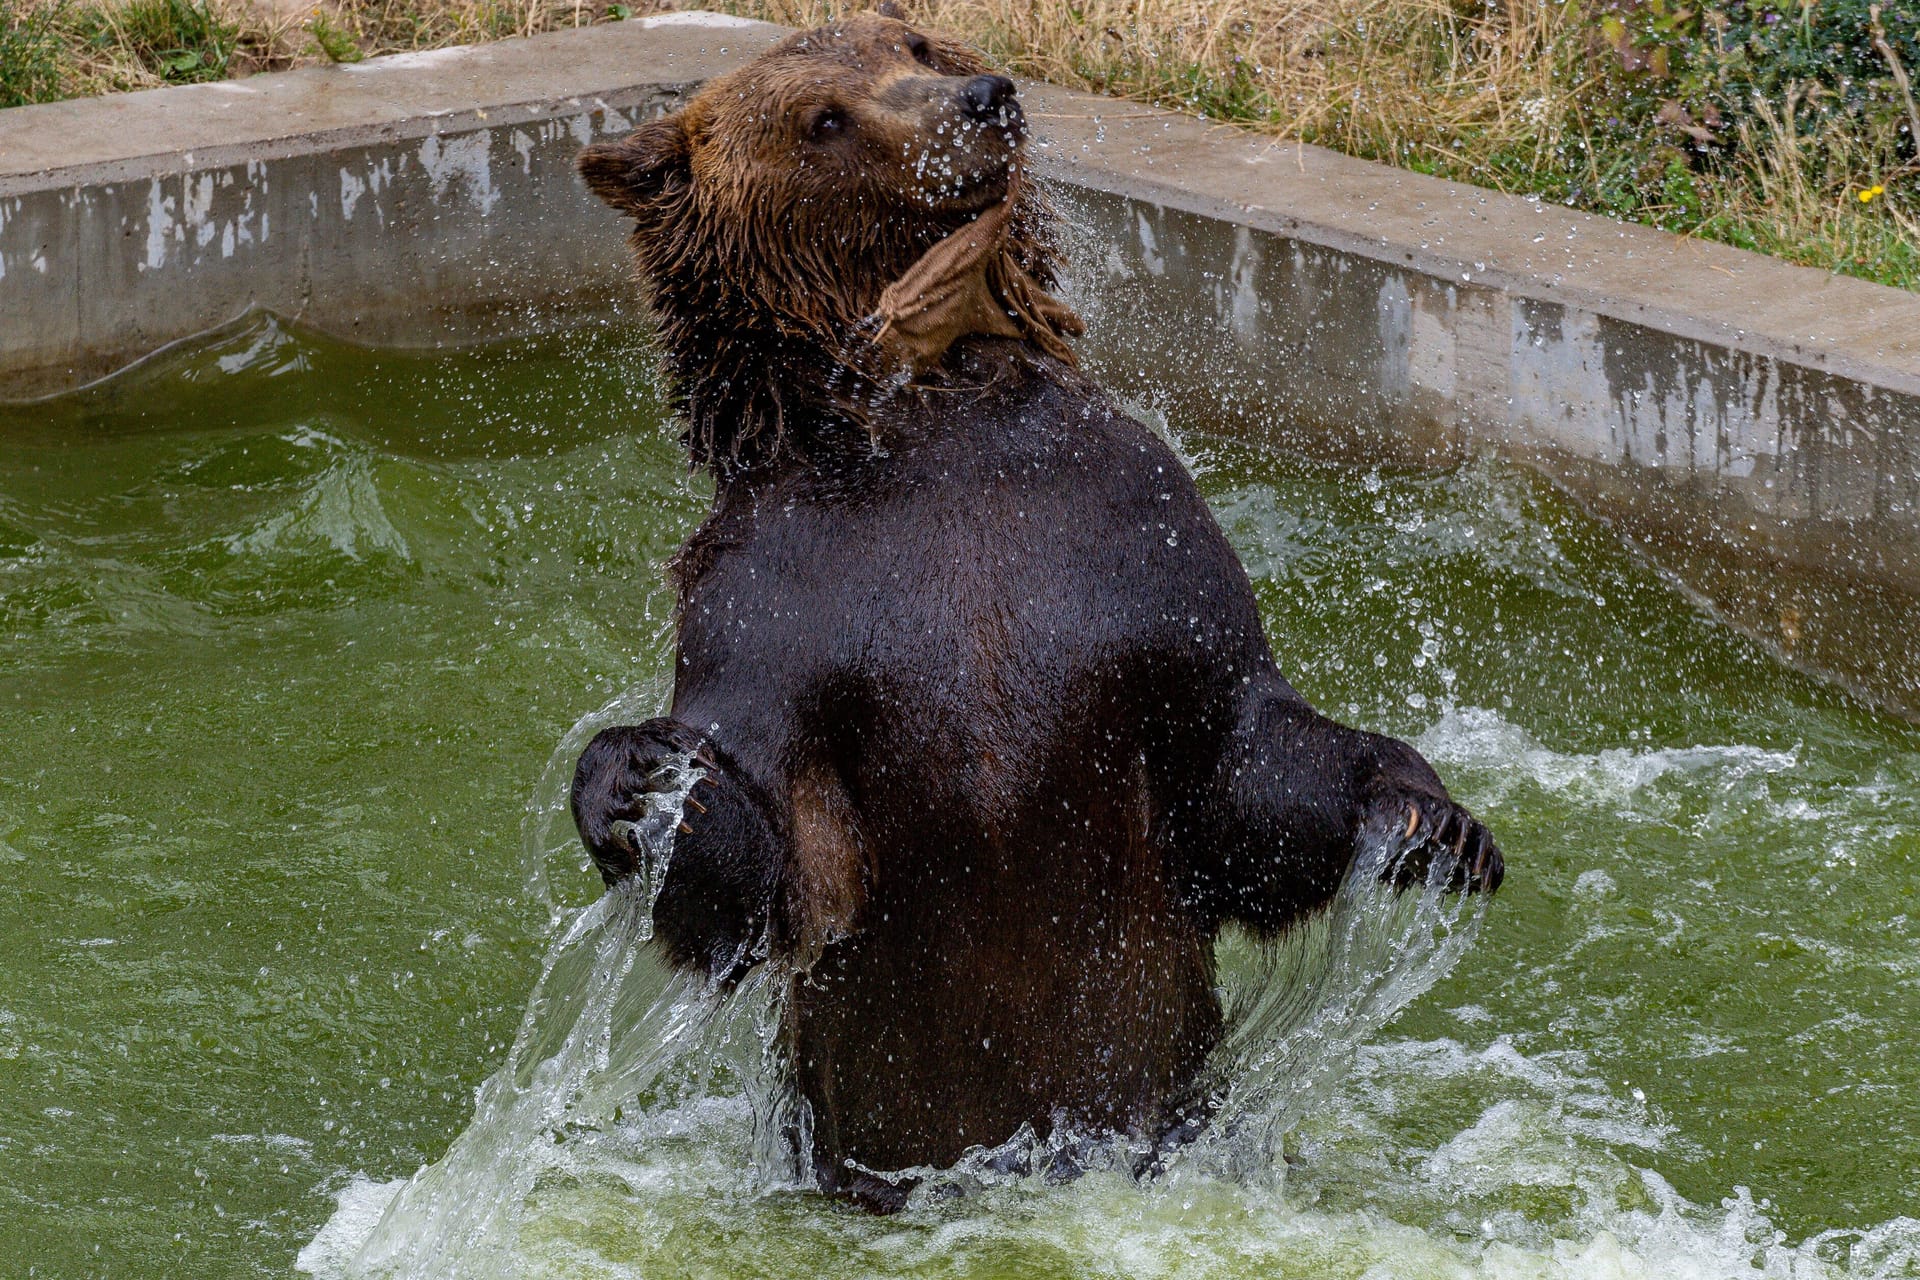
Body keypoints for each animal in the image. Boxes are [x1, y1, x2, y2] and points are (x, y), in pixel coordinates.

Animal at [568, 10, 1497, 1212]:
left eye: (914, 45)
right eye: (823, 117)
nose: (985, 101)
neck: (926, 407)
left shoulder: (1128, 532)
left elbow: (1237, 762)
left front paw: (1428, 814)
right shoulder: (769, 607)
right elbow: (767, 873)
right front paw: (636, 779)